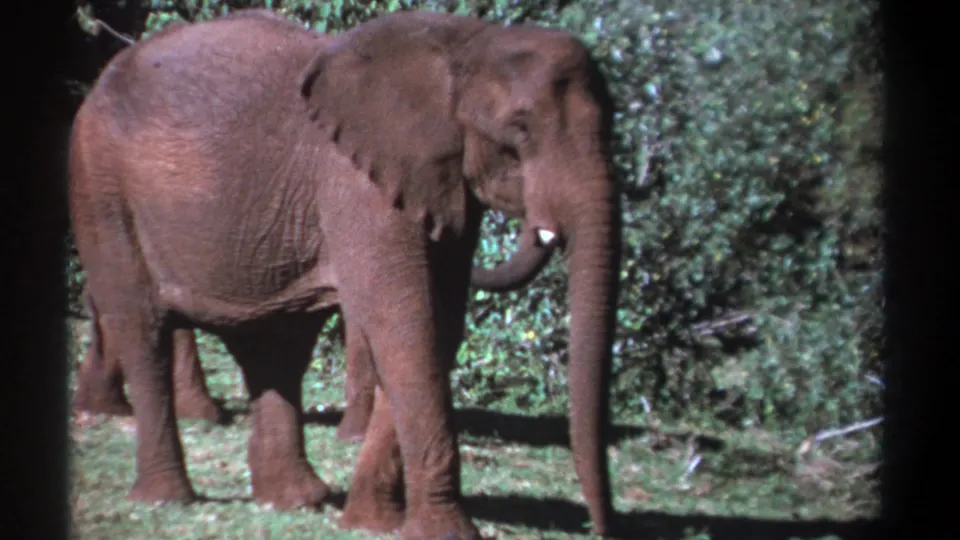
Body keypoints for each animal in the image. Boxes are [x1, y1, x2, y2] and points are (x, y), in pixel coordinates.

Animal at [68, 8, 621, 539]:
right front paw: (443, 533)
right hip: (101, 190)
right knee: (143, 329)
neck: (467, 43)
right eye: (521, 129)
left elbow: (436, 329)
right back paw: (167, 498)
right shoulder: (357, 183)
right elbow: (405, 325)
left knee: (274, 348)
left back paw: (295, 500)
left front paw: (369, 522)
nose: (601, 526)